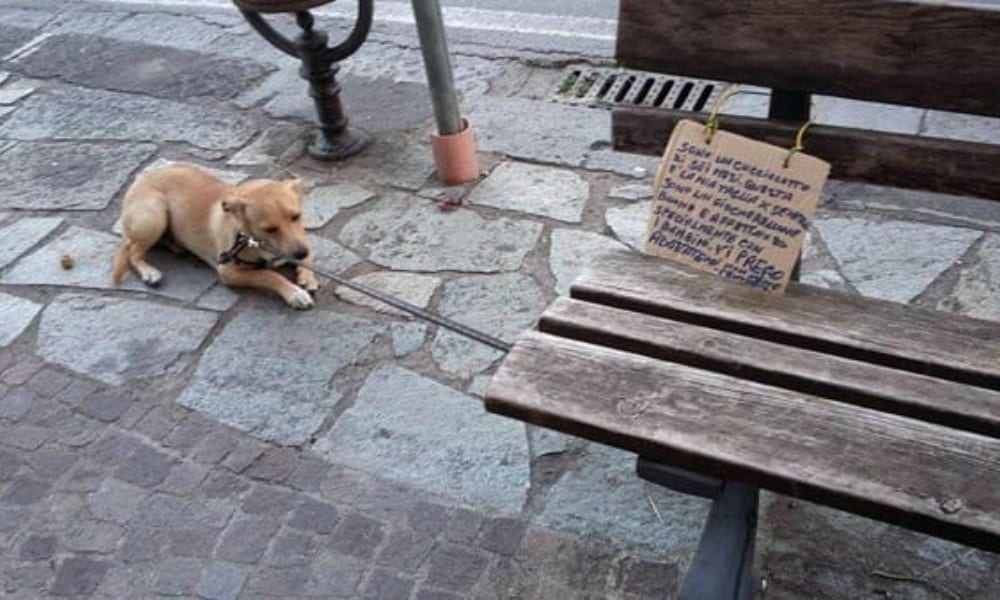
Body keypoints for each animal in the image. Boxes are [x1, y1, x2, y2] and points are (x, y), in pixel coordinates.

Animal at [112, 164, 320, 310]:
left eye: (296, 216)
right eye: (269, 229)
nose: (300, 253)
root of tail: (141, 177)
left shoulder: (303, 241)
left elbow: (310, 257)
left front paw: (307, 277)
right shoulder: (227, 272)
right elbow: (269, 275)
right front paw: (294, 293)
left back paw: (175, 245)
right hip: (154, 216)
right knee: (132, 251)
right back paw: (149, 271)